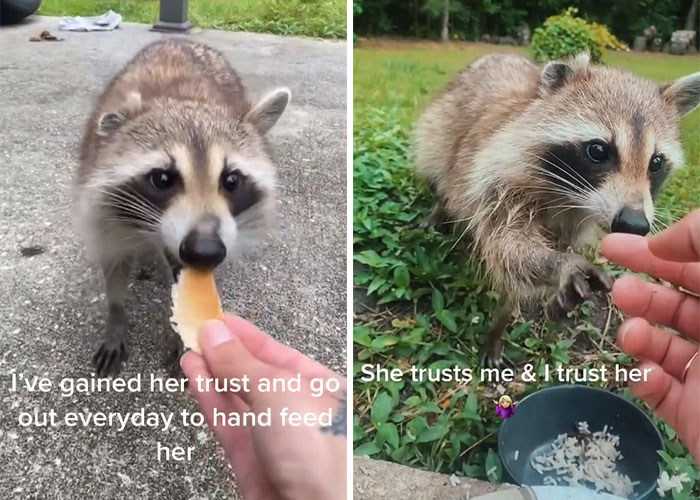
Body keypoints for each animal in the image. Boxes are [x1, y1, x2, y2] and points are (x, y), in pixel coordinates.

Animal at [76, 40, 290, 376]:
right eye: (162, 179)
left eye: (231, 180)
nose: (205, 251)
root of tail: (181, 41)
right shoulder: (102, 203)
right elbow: (114, 264)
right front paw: (116, 315)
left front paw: (180, 332)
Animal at [415, 52, 700, 367]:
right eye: (598, 151)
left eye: (656, 162)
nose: (634, 224)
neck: (571, 196)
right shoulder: (497, 185)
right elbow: (509, 246)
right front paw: (558, 263)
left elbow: (518, 273)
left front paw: (507, 315)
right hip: (442, 123)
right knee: (441, 166)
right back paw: (440, 205)